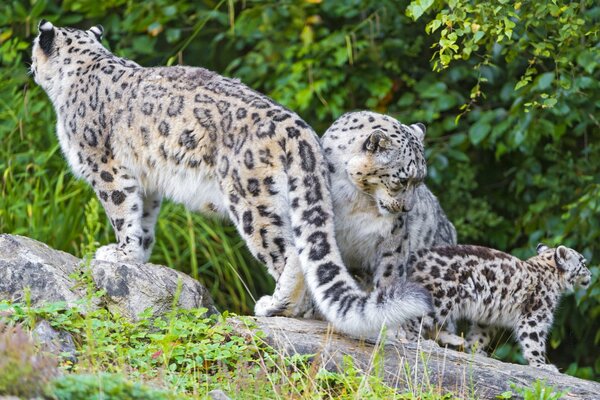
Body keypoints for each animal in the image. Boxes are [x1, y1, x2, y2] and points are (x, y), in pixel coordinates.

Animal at [31, 20, 432, 336]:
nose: (29, 66)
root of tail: (300, 130)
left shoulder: (106, 167)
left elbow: (121, 211)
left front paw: (119, 253)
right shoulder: (148, 182)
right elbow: (143, 219)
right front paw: (139, 256)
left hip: (251, 200)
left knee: (289, 254)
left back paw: (275, 306)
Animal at [322, 111, 458, 290]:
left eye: (419, 181)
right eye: (403, 180)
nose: (407, 208)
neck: (356, 202)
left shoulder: (394, 235)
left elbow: (389, 272)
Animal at [404, 242, 592, 370]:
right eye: (583, 263)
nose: (591, 274)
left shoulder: (487, 319)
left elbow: (480, 335)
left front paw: (475, 350)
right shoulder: (535, 316)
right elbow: (534, 342)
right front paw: (542, 365)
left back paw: (455, 340)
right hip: (440, 299)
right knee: (412, 320)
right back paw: (417, 340)